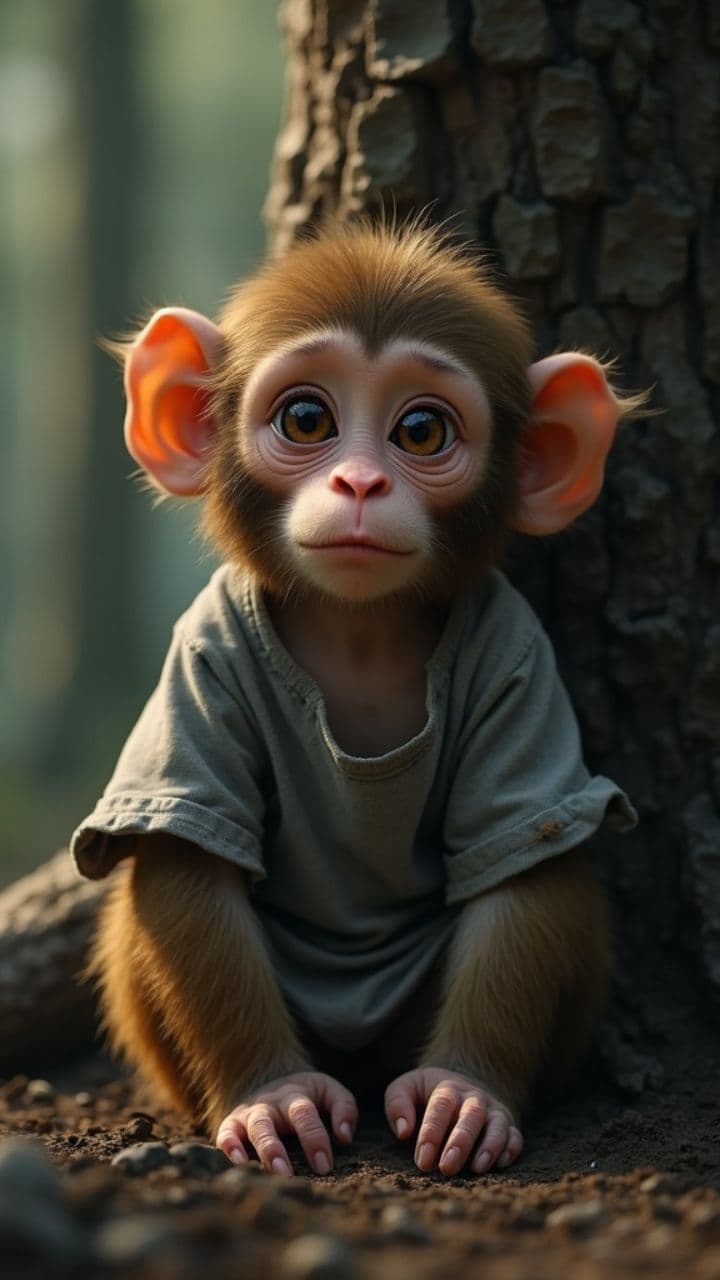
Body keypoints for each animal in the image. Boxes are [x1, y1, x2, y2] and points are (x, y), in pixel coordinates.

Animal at [71, 218, 639, 1179]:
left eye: (420, 430)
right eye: (307, 418)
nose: (361, 485)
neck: (359, 636)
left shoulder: (518, 647)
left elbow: (530, 868)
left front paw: (463, 1092)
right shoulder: (202, 644)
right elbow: (184, 864)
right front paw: (273, 1096)